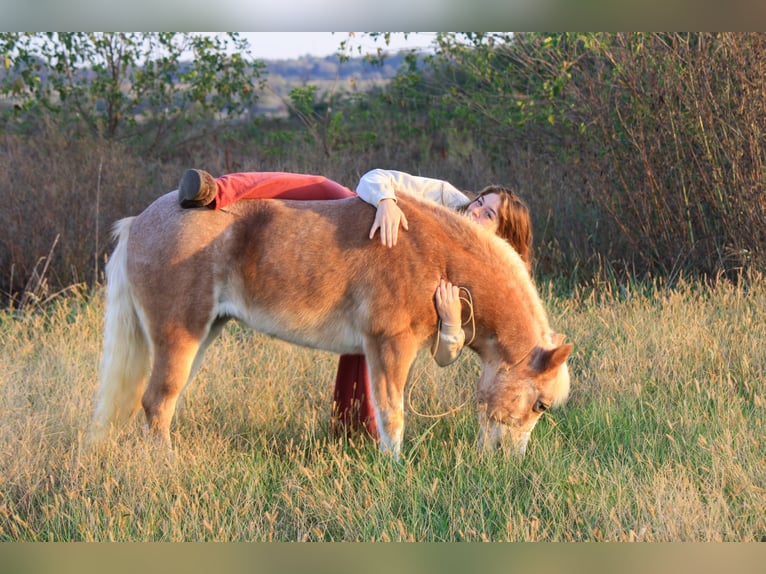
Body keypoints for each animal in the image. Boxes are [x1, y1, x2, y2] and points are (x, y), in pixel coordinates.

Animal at [91, 191, 573, 459]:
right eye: (540, 405)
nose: (506, 460)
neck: (433, 254)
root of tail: (138, 222)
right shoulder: (390, 346)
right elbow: (391, 413)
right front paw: (393, 469)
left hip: (204, 333)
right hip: (180, 336)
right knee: (156, 402)